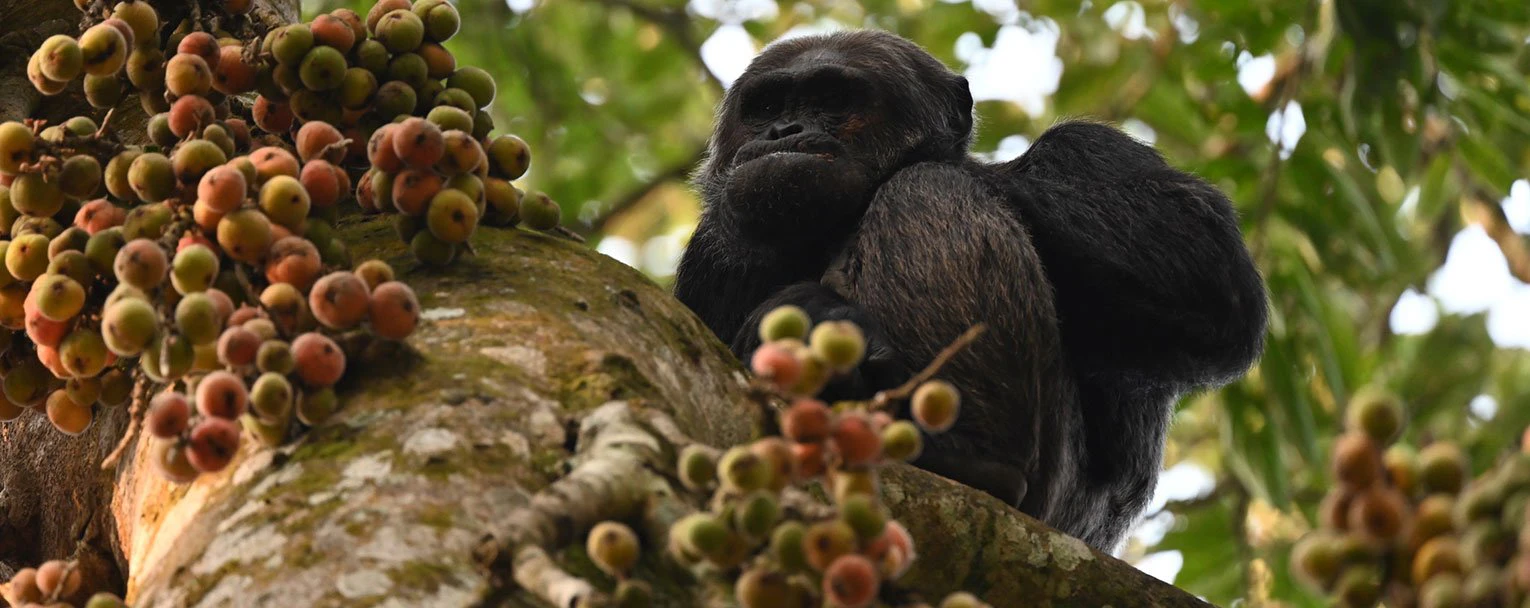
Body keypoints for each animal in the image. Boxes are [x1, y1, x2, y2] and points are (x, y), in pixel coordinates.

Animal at [672, 29, 1268, 553]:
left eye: (834, 100)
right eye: (767, 106)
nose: (785, 130)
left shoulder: (1091, 150)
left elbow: (1204, 266)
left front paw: (817, 308)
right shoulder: (708, 261)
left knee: (924, 189)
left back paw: (968, 458)